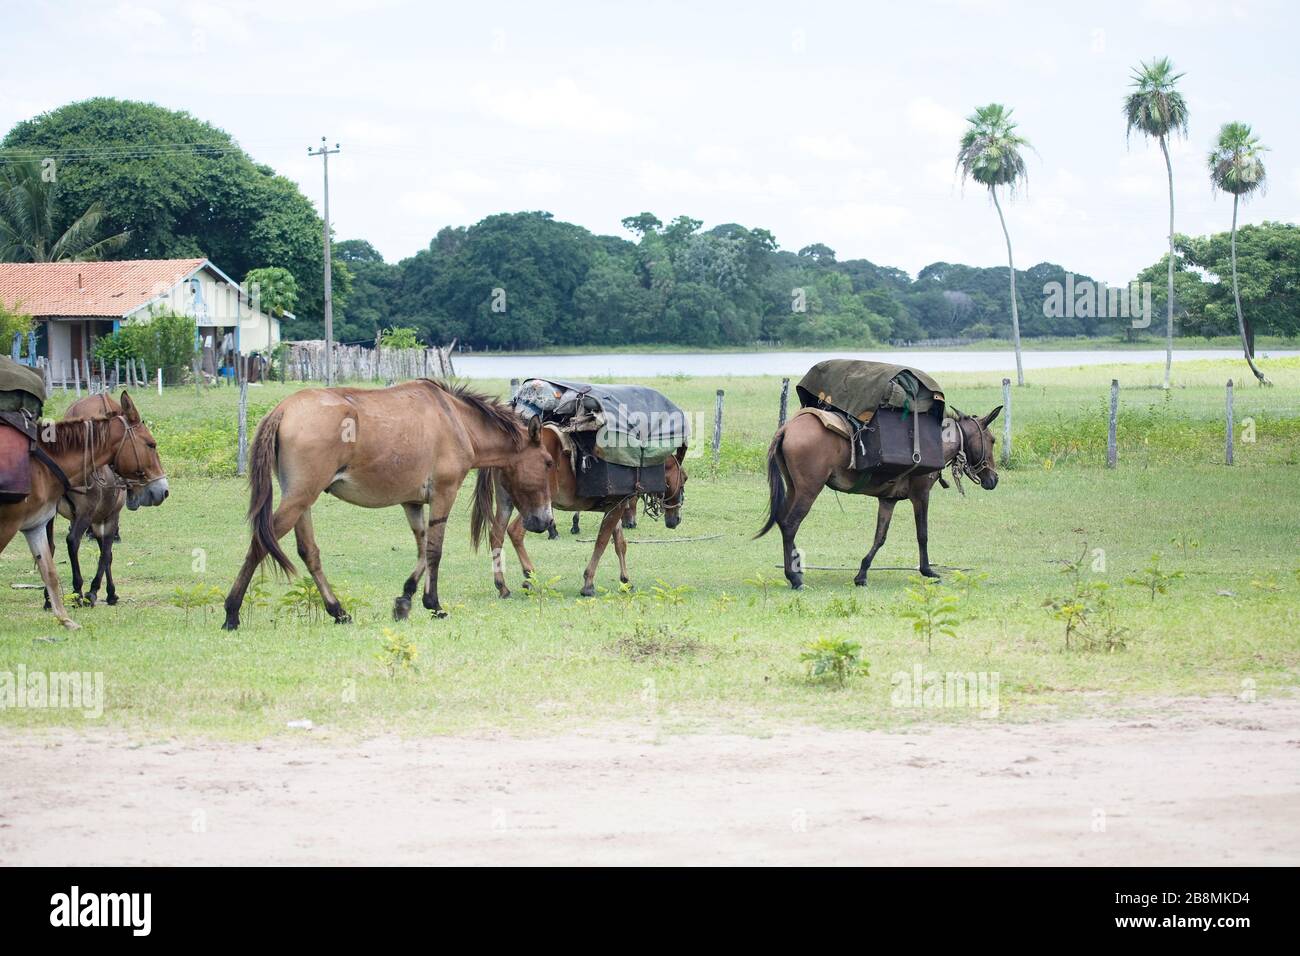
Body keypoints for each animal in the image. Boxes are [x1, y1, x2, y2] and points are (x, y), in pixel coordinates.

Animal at [0, 390, 169, 629]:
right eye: (151, 444)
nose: (163, 491)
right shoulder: (107, 519)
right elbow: (106, 554)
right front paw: (98, 592)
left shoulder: (45, 521)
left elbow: (53, 565)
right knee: (73, 541)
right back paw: (78, 592)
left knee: (54, 546)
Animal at [222, 377, 553, 632]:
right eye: (549, 462)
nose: (545, 521)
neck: (455, 419)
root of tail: (284, 409)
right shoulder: (444, 495)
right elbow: (435, 551)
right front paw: (434, 605)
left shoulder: (412, 503)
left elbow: (422, 550)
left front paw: (405, 599)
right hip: (299, 498)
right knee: (260, 542)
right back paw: (232, 612)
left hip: (301, 502)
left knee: (309, 553)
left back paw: (338, 611)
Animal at [480, 429, 691, 598]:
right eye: (685, 477)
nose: (677, 519)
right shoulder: (616, 507)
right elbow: (602, 542)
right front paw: (588, 584)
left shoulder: (614, 507)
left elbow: (620, 544)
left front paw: (625, 581)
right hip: (534, 507)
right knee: (515, 531)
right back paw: (529, 576)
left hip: (507, 503)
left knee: (496, 535)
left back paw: (503, 586)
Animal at [759, 405, 998, 587]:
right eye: (993, 440)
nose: (994, 478)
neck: (938, 443)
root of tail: (788, 428)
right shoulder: (921, 495)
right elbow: (922, 534)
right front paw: (928, 571)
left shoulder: (888, 500)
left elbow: (880, 537)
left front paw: (862, 574)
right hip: (809, 490)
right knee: (790, 524)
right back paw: (794, 578)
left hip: (794, 488)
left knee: (782, 521)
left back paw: (796, 568)